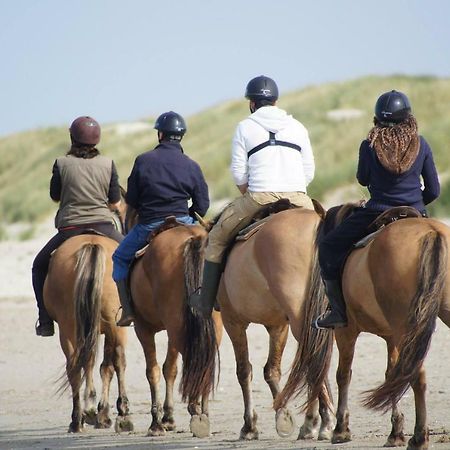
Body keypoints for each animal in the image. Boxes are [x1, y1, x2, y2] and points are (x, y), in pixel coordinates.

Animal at [44, 232, 133, 432]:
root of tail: (92, 245)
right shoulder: (110, 329)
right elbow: (107, 367)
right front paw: (105, 413)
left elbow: (98, 365)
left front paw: (98, 412)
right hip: (114, 326)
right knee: (116, 361)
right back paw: (118, 414)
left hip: (69, 327)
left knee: (75, 365)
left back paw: (79, 417)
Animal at [128, 223, 223, 438]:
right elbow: (169, 369)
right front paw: (168, 418)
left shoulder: (142, 328)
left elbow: (153, 371)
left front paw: (156, 423)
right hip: (204, 324)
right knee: (205, 361)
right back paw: (203, 412)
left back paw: (195, 411)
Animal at [216, 209, 336, 442]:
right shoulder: (277, 325)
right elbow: (271, 370)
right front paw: (285, 418)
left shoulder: (232, 321)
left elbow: (244, 371)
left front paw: (250, 426)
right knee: (316, 362)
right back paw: (320, 421)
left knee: (313, 361)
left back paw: (323, 422)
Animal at [280, 205, 450, 450]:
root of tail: (430, 232)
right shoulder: (391, 337)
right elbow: (391, 375)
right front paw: (395, 433)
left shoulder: (345, 332)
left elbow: (344, 374)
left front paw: (341, 429)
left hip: (405, 328)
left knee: (416, 375)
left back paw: (419, 438)